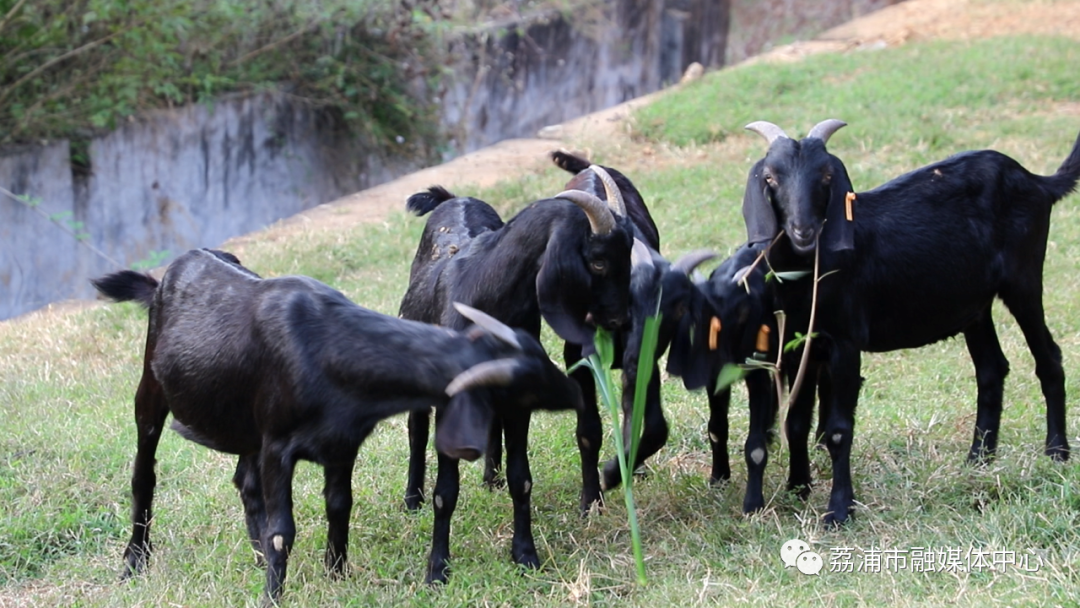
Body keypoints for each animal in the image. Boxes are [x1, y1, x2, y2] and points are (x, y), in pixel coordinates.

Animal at [92, 247, 583, 604]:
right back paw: (134, 561)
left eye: (537, 353)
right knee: (143, 476)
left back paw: (254, 557)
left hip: (246, 427)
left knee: (244, 484)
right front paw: (273, 596)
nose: (576, 392)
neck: (329, 347)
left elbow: (339, 505)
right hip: (150, 394)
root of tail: (164, 278)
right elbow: (282, 531)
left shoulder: (341, 445)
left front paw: (337, 572)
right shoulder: (278, 446)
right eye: (522, 383)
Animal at [397, 183, 630, 583]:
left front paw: (525, 554)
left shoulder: (518, 399)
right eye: (598, 261)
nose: (623, 320)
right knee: (416, 430)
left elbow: (522, 479)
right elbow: (446, 492)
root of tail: (454, 199)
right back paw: (413, 498)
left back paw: (491, 479)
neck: (485, 294)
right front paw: (437, 569)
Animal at [743, 121, 1080, 524]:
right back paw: (978, 460)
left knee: (1049, 358)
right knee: (991, 369)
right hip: (974, 305)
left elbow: (838, 430)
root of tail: (1038, 182)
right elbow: (795, 420)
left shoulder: (845, 342)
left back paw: (1056, 453)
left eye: (825, 176)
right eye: (770, 177)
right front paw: (798, 488)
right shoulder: (800, 343)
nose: (803, 230)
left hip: (1023, 279)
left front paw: (839, 510)